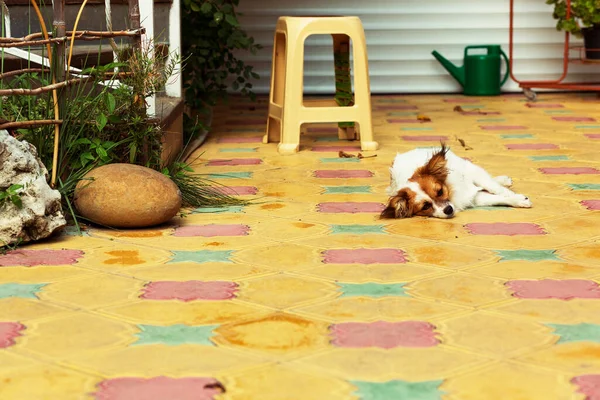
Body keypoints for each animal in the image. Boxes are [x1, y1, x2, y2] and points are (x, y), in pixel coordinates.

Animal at [382, 144, 532, 219]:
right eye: (425, 207)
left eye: (440, 191)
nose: (448, 210)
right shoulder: (472, 198)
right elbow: (495, 199)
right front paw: (517, 200)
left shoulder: (472, 179)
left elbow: (497, 190)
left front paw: (517, 197)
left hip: (470, 168)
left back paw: (503, 180)